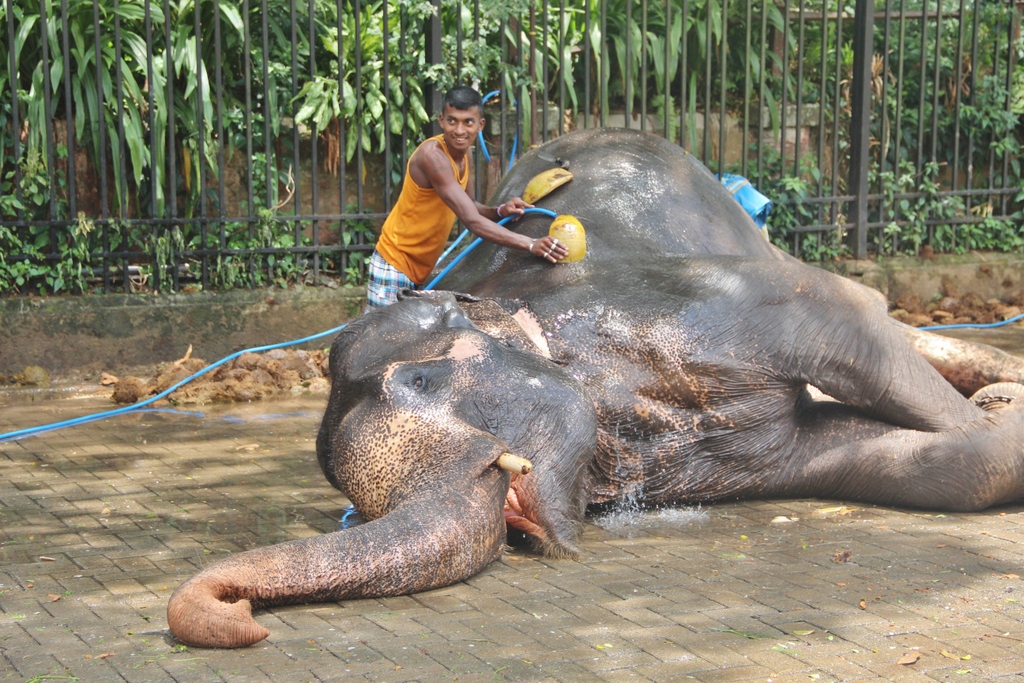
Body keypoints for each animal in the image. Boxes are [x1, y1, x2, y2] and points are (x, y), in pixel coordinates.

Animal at [165, 129, 1024, 651]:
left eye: (422, 377)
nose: (246, 616)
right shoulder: (742, 453)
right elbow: (848, 448)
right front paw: (988, 416)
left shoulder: (701, 304)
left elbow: (848, 319)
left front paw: (995, 412)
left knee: (873, 306)